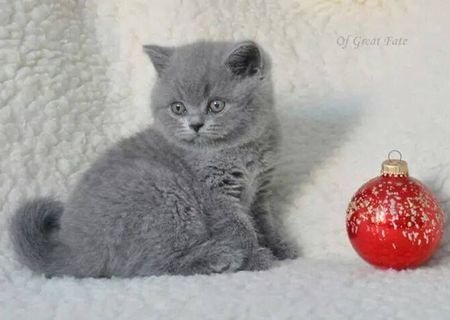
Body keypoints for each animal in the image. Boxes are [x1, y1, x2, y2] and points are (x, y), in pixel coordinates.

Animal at [8, 40, 298, 278]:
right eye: (178, 108)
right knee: (148, 266)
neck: (241, 149)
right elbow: (238, 227)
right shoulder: (215, 195)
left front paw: (281, 247)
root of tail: (71, 250)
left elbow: (264, 221)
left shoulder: (261, 189)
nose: (195, 124)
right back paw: (218, 257)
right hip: (165, 192)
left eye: (216, 105)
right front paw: (256, 258)